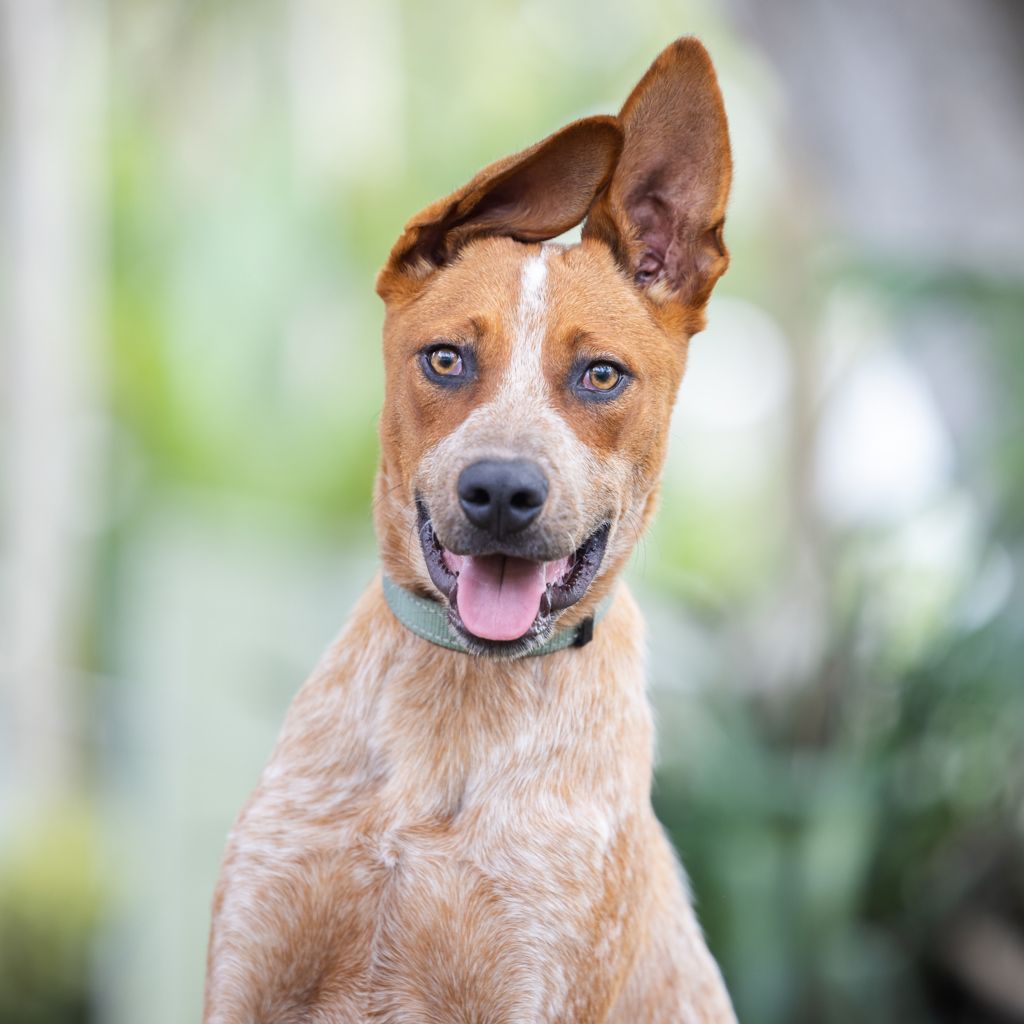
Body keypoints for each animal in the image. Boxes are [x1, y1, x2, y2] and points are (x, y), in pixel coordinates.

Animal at [204, 37, 736, 1023]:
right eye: (446, 359)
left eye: (601, 375)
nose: (499, 491)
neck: (456, 708)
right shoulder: (249, 971)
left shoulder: (523, 983)